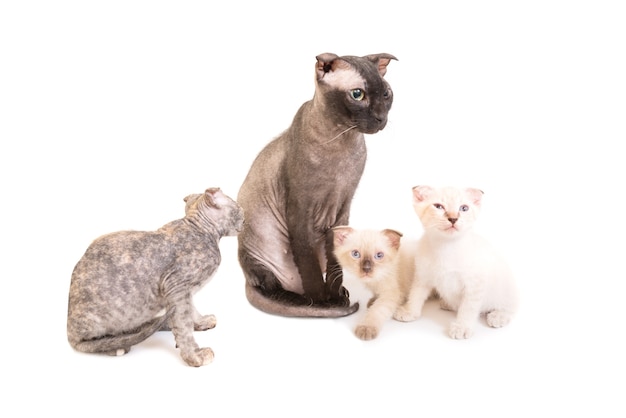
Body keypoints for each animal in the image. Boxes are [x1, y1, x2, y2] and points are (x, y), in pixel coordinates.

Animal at [394, 186, 516, 340]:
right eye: (438, 206)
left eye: (464, 208)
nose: (453, 218)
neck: (446, 246)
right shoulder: (423, 275)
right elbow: (415, 294)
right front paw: (409, 311)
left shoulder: (474, 286)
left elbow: (467, 308)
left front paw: (462, 327)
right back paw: (448, 303)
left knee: (510, 307)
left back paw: (499, 316)